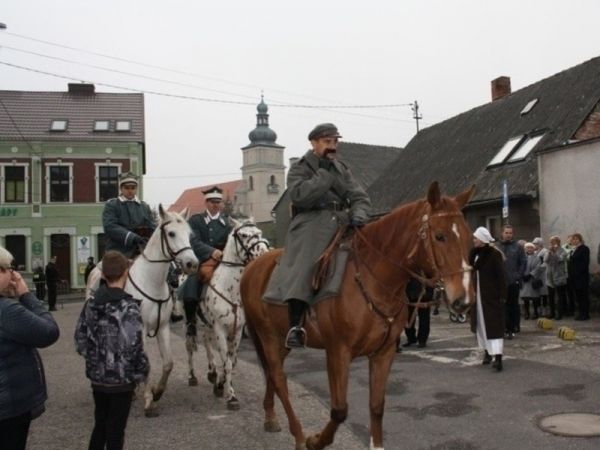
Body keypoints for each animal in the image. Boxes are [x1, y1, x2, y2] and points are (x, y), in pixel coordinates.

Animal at [85, 206, 198, 416]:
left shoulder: (163, 327)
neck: (151, 281)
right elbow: (147, 363)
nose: (191, 264)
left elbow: (168, 363)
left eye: (189, 234)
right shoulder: (140, 328)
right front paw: (148, 400)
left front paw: (157, 391)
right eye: (171, 233)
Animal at [185, 218, 270, 412]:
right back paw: (192, 376)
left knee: (206, 343)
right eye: (244, 235)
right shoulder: (220, 330)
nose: (264, 253)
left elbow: (231, 361)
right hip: (191, 322)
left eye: (259, 232)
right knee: (190, 346)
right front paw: (231, 396)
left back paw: (211, 372)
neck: (230, 289)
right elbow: (228, 363)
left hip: (206, 324)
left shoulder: (236, 330)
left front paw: (220, 385)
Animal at [239, 181, 474, 448]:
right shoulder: (338, 353)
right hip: (267, 335)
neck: (372, 278)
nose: (463, 300)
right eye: (440, 236)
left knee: (271, 373)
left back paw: (270, 417)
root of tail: (252, 266)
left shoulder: (383, 353)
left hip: (281, 340)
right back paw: (299, 435)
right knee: (279, 378)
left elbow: (377, 406)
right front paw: (316, 440)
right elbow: (339, 410)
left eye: (468, 238)